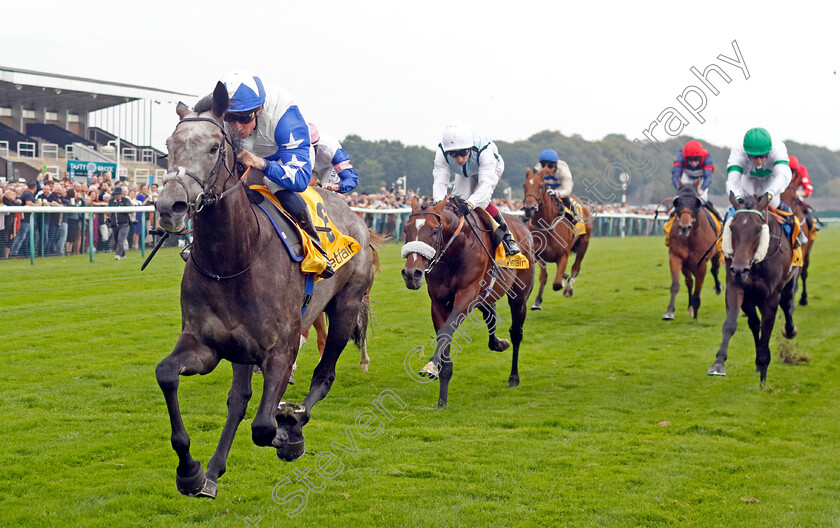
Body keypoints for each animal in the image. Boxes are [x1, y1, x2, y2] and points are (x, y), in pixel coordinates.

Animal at [398, 196, 532, 406]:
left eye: (435, 230)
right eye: (406, 229)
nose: (412, 274)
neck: (454, 252)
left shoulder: (467, 295)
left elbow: (446, 331)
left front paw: (431, 365)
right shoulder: (438, 302)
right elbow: (444, 335)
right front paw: (441, 399)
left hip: (519, 295)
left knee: (516, 333)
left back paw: (514, 377)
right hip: (485, 297)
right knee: (490, 314)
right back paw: (498, 343)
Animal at [520, 167, 588, 310]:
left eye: (541, 186)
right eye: (524, 185)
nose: (529, 208)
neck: (547, 224)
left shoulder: (563, 255)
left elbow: (556, 283)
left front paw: (562, 281)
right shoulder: (538, 255)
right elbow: (542, 277)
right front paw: (537, 301)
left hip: (584, 243)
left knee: (576, 268)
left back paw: (568, 288)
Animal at [664, 184, 720, 320]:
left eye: (696, 203)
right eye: (678, 202)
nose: (684, 227)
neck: (690, 238)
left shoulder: (702, 263)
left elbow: (698, 289)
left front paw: (695, 313)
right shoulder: (676, 257)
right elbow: (676, 285)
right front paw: (669, 311)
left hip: (717, 254)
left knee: (714, 270)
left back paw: (718, 288)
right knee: (689, 282)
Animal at [704, 192, 796, 386]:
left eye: (759, 229)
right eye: (732, 227)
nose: (740, 269)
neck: (755, 263)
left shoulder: (771, 296)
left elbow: (767, 328)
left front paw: (763, 371)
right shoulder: (736, 287)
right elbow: (730, 324)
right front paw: (718, 364)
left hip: (788, 282)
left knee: (787, 305)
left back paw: (790, 330)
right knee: (754, 323)